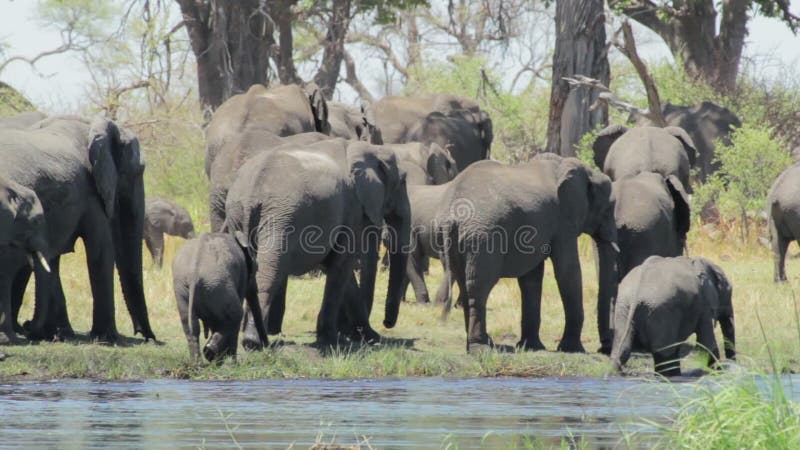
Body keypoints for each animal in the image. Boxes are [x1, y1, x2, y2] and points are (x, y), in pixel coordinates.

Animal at [225, 140, 412, 348]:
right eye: (403, 182)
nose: (386, 323)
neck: (367, 147)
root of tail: (251, 191)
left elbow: (339, 268)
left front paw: (369, 338)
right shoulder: (352, 207)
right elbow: (342, 264)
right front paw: (332, 341)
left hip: (237, 214)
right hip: (282, 218)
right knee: (270, 270)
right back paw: (253, 341)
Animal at [438, 156, 620, 354]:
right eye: (608, 209)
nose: (605, 348)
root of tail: (452, 215)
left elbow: (531, 279)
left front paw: (531, 347)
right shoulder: (564, 221)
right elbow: (567, 271)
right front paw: (573, 349)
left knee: (464, 285)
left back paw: (482, 345)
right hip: (483, 238)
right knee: (478, 287)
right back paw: (482, 348)